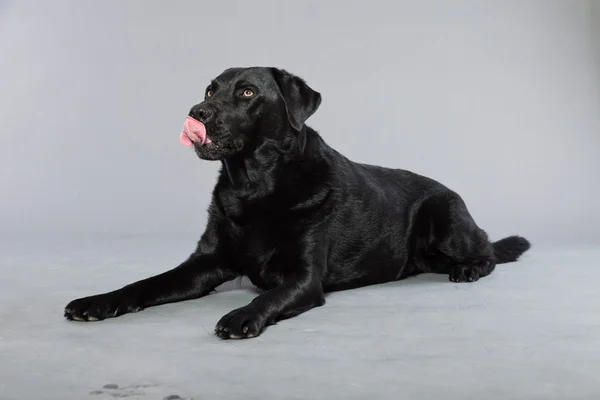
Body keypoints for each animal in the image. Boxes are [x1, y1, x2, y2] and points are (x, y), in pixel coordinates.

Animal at [64, 67, 528, 340]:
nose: (197, 111)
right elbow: (146, 284)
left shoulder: (304, 279)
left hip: (444, 216)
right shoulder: (203, 264)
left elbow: (266, 298)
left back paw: (469, 268)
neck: (253, 188)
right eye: (210, 90)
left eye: (247, 92)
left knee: (488, 250)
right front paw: (97, 302)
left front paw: (240, 315)